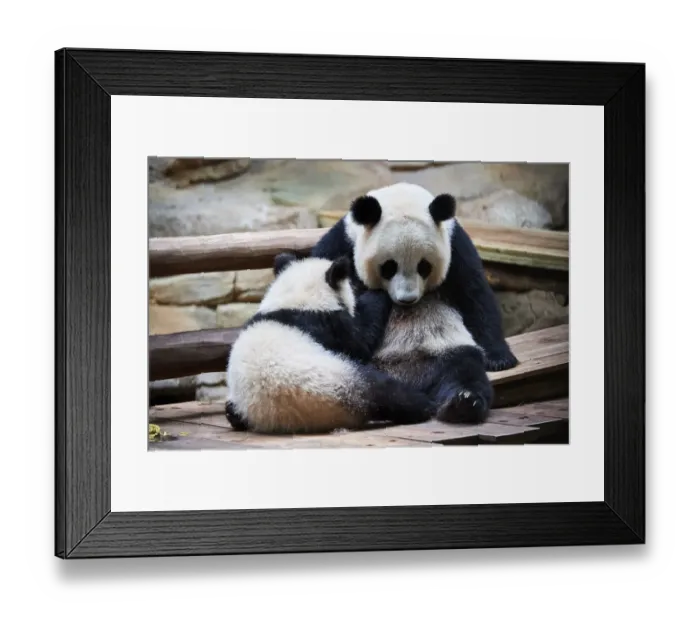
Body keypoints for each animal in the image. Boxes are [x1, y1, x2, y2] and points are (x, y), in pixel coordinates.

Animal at [224, 251, 437, 435]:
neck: (296, 297)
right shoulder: (330, 325)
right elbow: (361, 339)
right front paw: (377, 294)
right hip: (344, 376)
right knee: (387, 392)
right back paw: (424, 405)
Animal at [311, 182, 518, 424]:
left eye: (424, 266)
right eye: (388, 267)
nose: (407, 299)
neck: (401, 198)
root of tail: (408, 377)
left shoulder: (456, 246)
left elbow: (475, 296)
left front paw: (499, 359)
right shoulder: (341, 245)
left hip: (444, 352)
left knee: (463, 370)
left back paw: (463, 403)